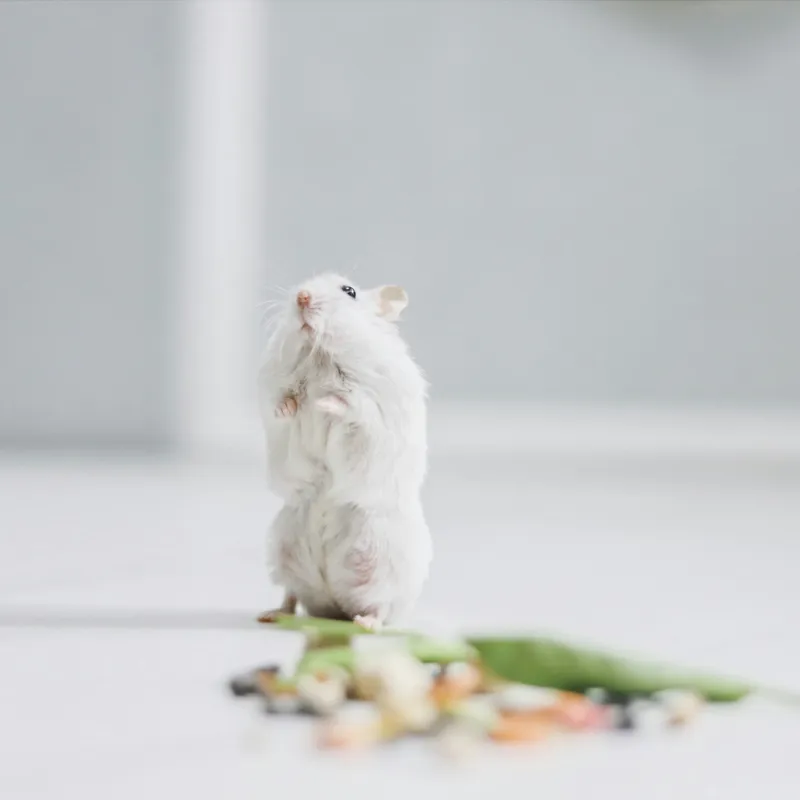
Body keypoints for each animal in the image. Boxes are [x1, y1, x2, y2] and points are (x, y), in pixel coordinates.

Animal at [258, 273, 432, 630]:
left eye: (349, 291)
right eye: (304, 283)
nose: (302, 296)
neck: (319, 353)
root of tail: (334, 605)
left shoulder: (373, 404)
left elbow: (351, 405)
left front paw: (323, 402)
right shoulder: (276, 387)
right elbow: (282, 404)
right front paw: (292, 406)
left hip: (384, 562)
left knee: (380, 605)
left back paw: (367, 623)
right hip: (284, 545)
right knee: (291, 595)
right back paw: (270, 615)